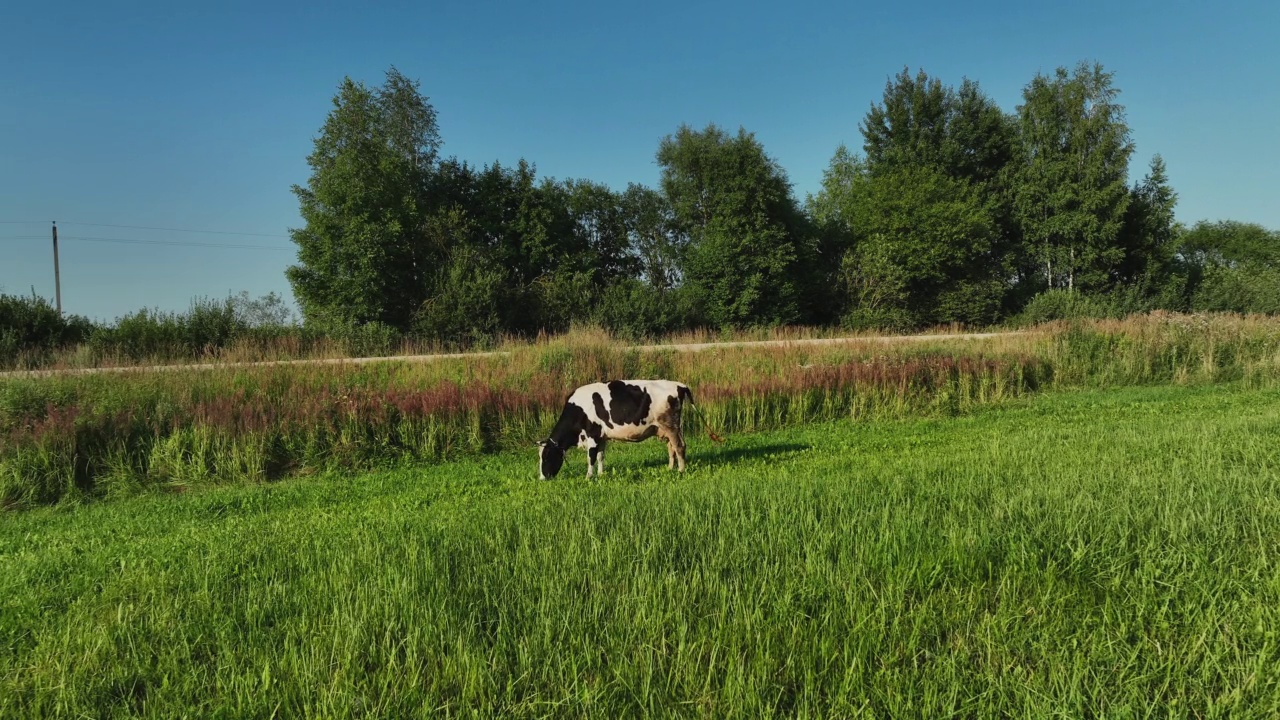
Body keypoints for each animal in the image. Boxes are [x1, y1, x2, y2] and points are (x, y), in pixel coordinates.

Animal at [532, 379, 721, 479]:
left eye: (546, 456)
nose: (542, 478)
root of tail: (679, 385)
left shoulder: (592, 436)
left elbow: (591, 458)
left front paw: (589, 477)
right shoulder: (601, 437)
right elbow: (600, 456)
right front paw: (601, 474)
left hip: (671, 425)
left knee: (680, 446)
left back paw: (681, 470)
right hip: (666, 428)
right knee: (672, 447)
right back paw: (669, 468)